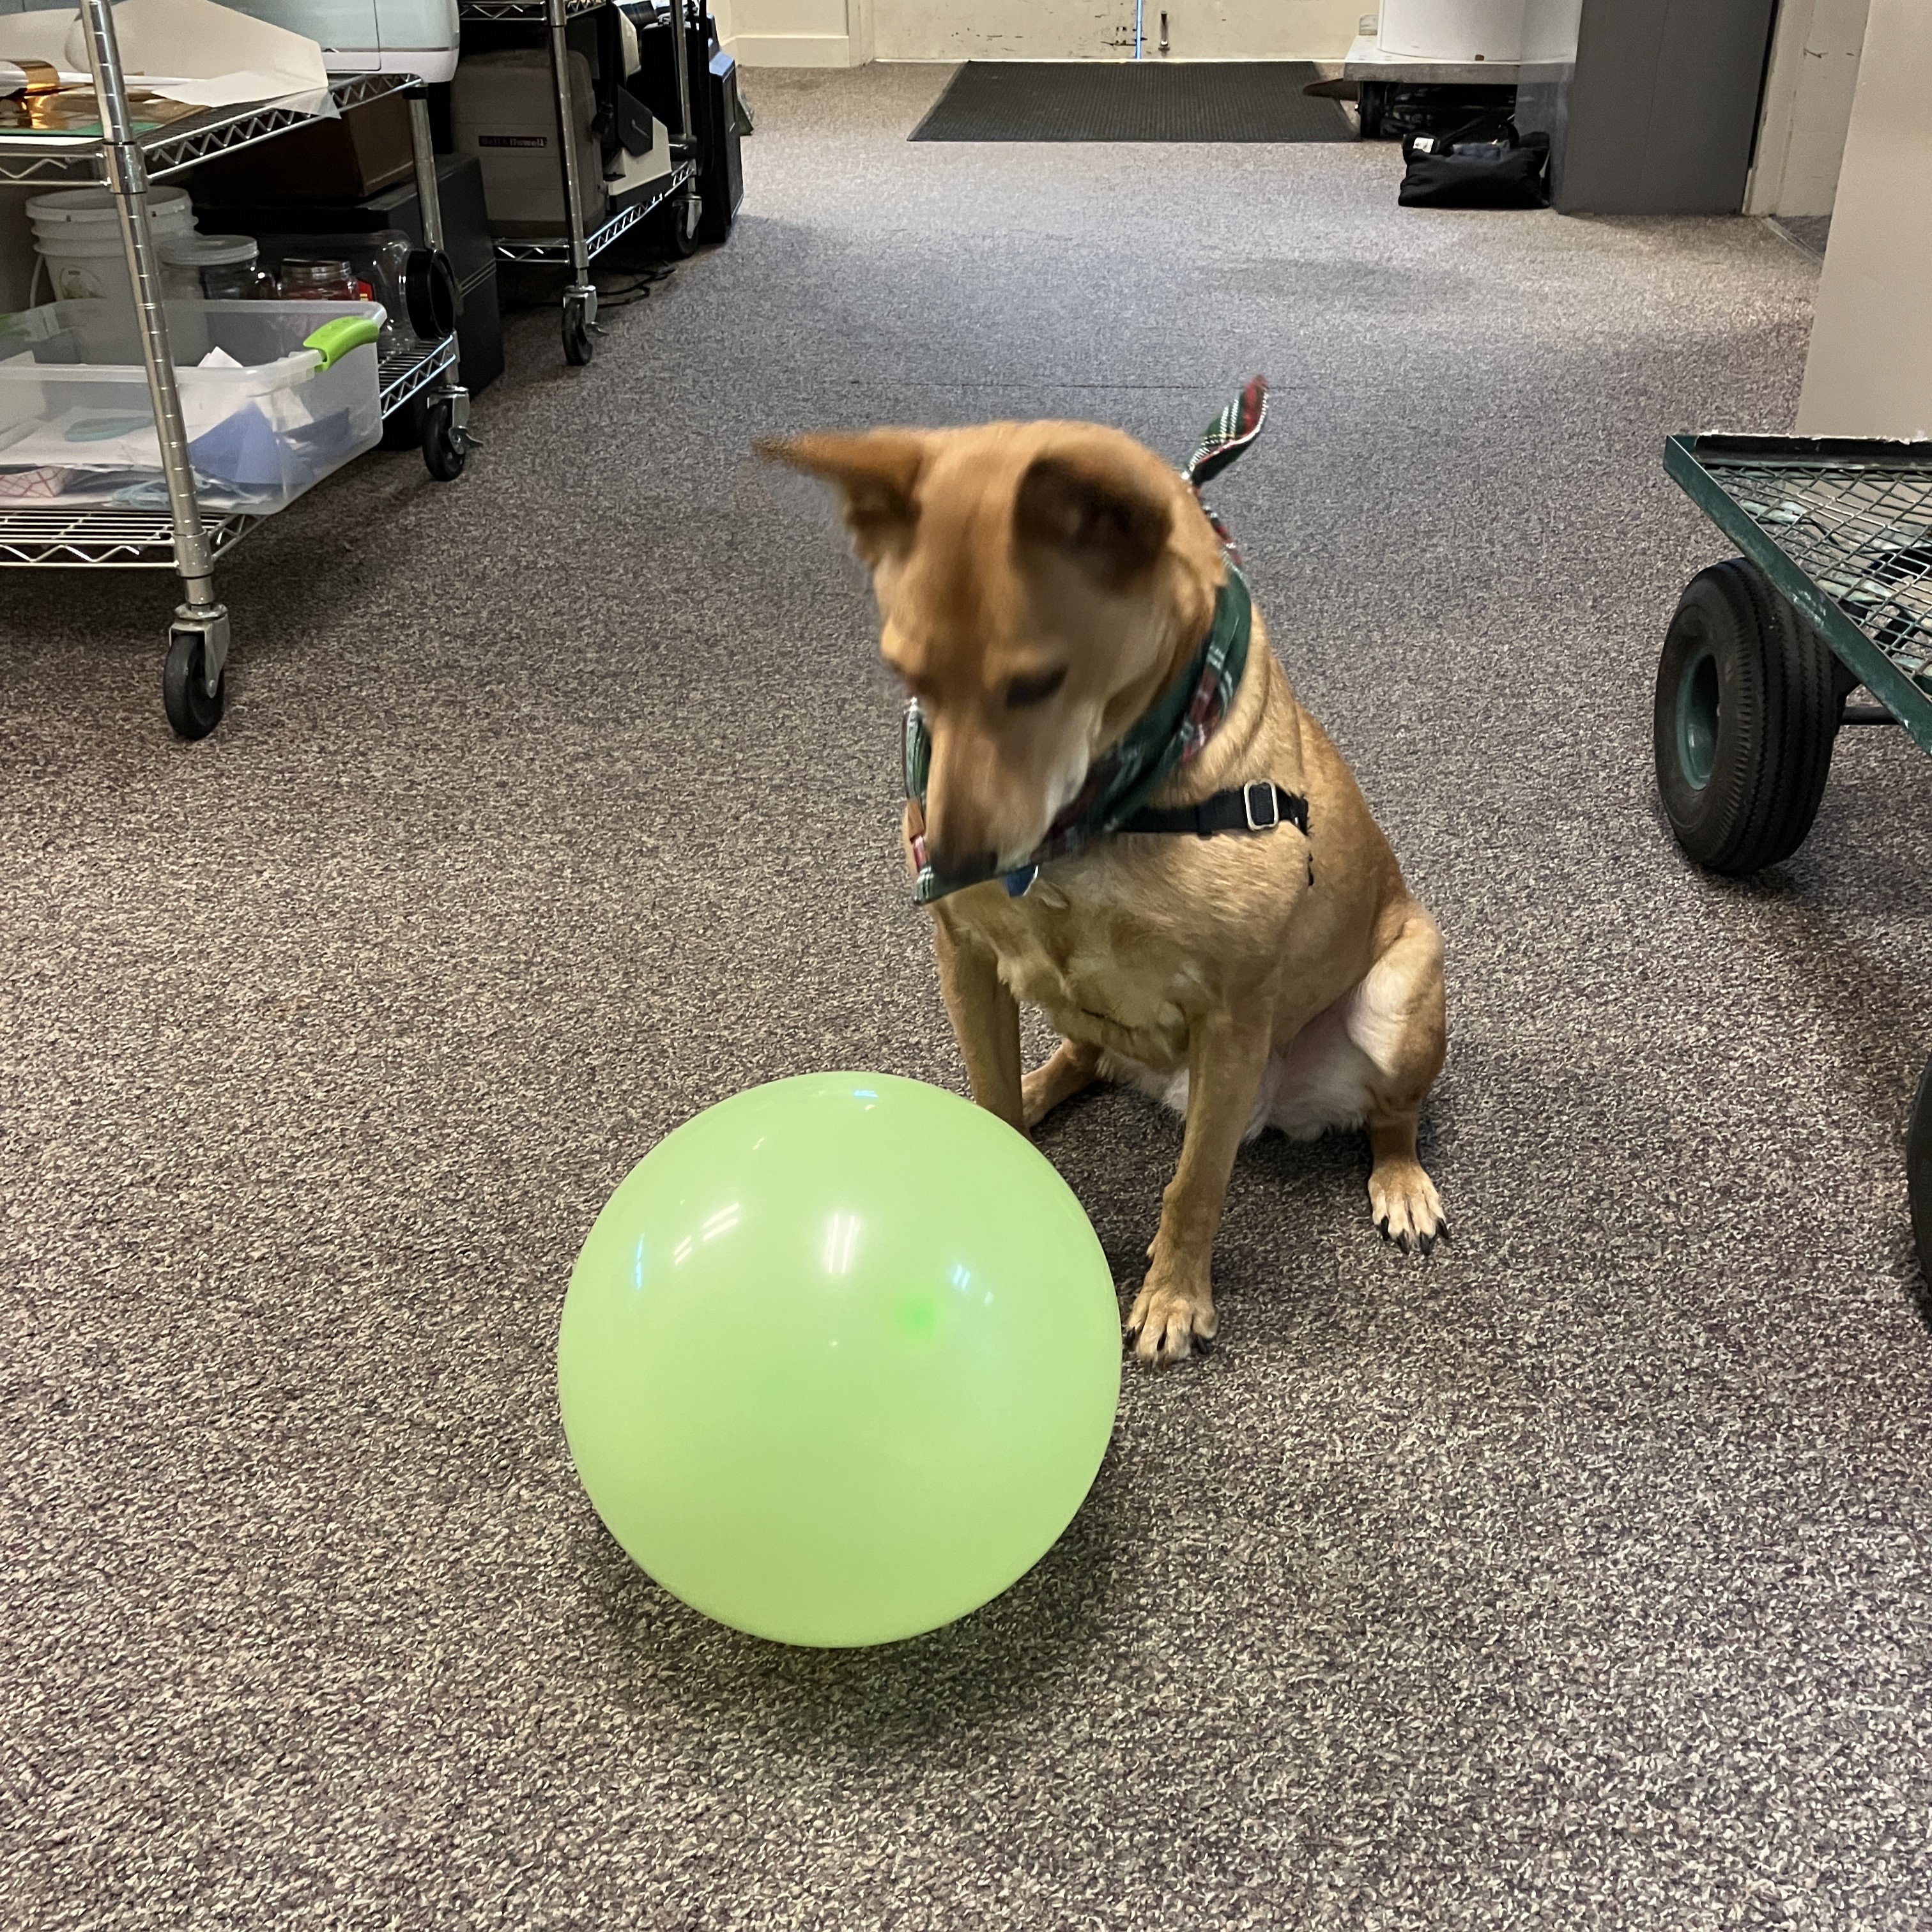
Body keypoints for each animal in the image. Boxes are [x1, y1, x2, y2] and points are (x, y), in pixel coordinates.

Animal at [769, 413, 1453, 1367]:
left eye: (1035, 684)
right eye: (907, 677)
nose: (943, 860)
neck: (1093, 825)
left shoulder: (1234, 1020)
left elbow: (1195, 1185)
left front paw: (1174, 1298)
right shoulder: (966, 958)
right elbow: (994, 1100)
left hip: (1399, 996)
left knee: (1395, 1116)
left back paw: (1402, 1183)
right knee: (1078, 1058)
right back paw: (1040, 1083)